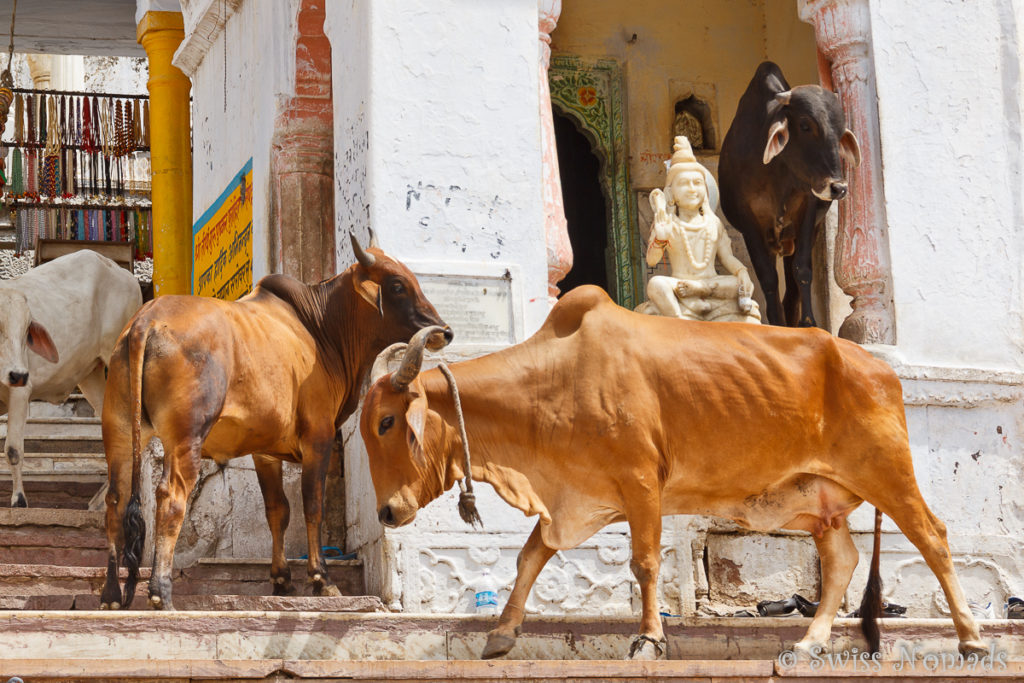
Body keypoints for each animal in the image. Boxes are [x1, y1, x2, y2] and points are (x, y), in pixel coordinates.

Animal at [0, 250, 142, 507]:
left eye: (27, 332)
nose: (18, 374)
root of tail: (122, 273)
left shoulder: (20, 392)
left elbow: (13, 450)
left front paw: (19, 501)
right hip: (91, 376)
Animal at [100, 233, 452, 610]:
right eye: (398, 285)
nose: (444, 332)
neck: (321, 329)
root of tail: (147, 320)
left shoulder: (265, 452)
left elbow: (277, 511)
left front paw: (281, 578)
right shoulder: (318, 437)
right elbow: (312, 504)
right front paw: (322, 578)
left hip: (120, 433)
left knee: (115, 501)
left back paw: (111, 595)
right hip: (185, 438)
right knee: (170, 498)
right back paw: (161, 592)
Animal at [358, 288, 983, 663]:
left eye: (387, 421)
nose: (387, 512)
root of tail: (877, 367)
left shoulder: (640, 484)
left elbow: (645, 562)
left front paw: (649, 638)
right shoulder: (577, 501)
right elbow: (530, 557)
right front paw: (502, 634)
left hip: (887, 472)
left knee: (933, 537)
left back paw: (972, 638)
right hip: (822, 502)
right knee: (841, 563)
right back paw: (807, 644)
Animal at [720, 61, 856, 327]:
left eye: (840, 130)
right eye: (805, 125)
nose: (838, 188)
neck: (776, 173)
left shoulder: (808, 209)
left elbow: (802, 269)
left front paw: (808, 322)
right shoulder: (750, 223)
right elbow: (768, 277)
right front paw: (777, 323)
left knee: (792, 284)